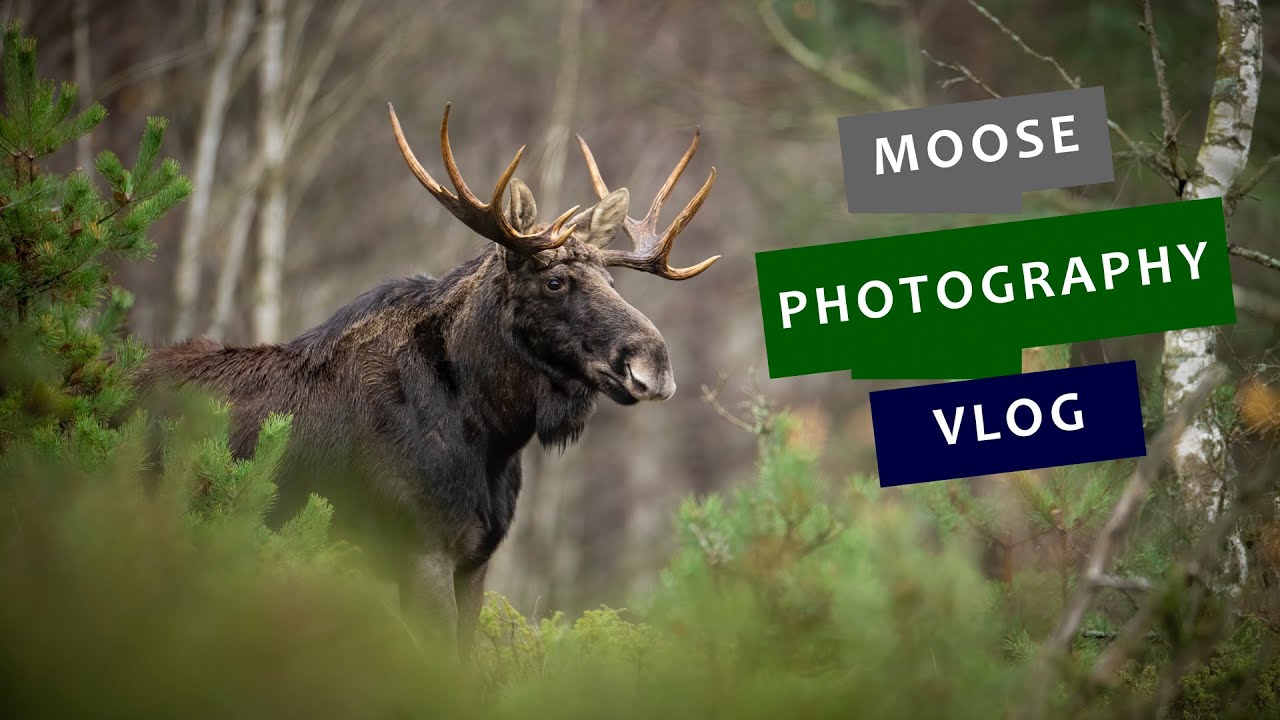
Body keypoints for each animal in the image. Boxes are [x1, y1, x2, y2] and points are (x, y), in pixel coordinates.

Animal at [138, 103, 719, 657]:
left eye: (611, 280)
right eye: (555, 281)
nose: (655, 364)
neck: (492, 433)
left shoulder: (475, 559)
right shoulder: (422, 551)